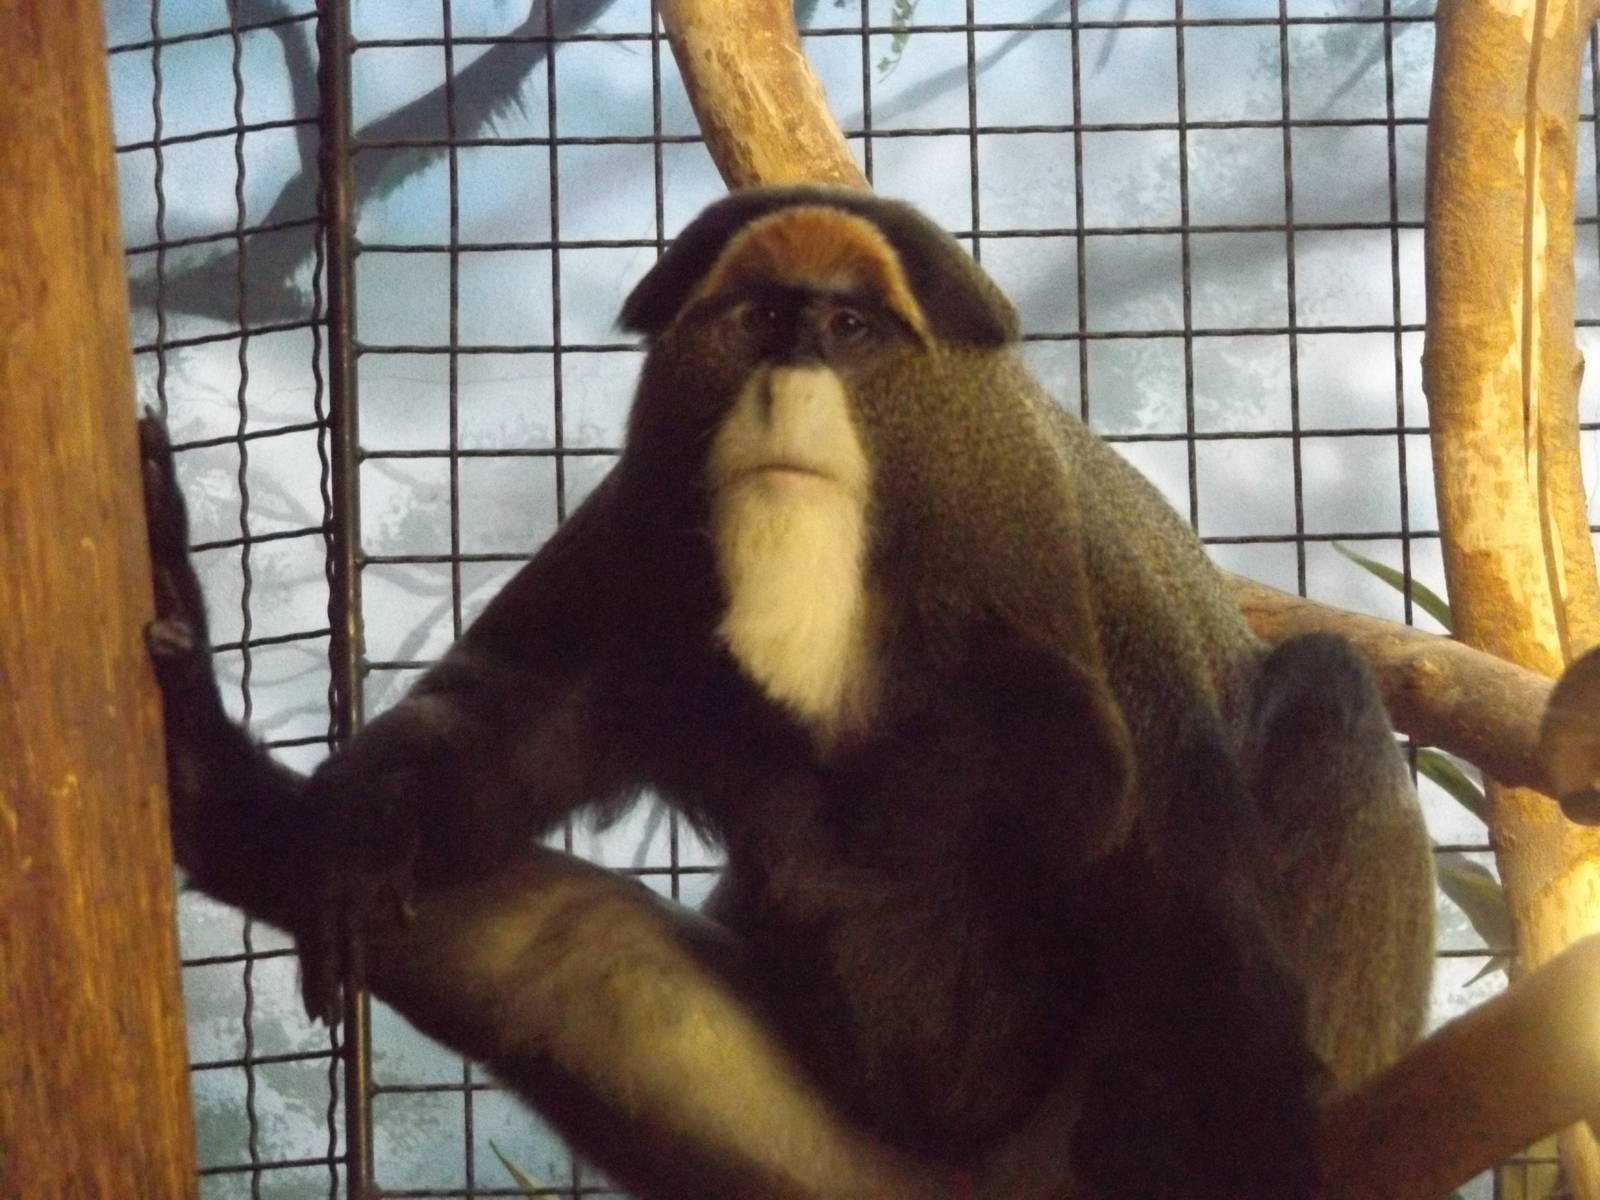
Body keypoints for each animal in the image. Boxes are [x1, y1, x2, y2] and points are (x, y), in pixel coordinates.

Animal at [144, 186, 1435, 1199]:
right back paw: (204, 773)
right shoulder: (635, 542)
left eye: (849, 328)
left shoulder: (1095, 617)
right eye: (763, 318)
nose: (786, 373)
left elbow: (1206, 930)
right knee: (561, 953)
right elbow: (491, 738)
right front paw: (361, 824)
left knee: (1326, 689)